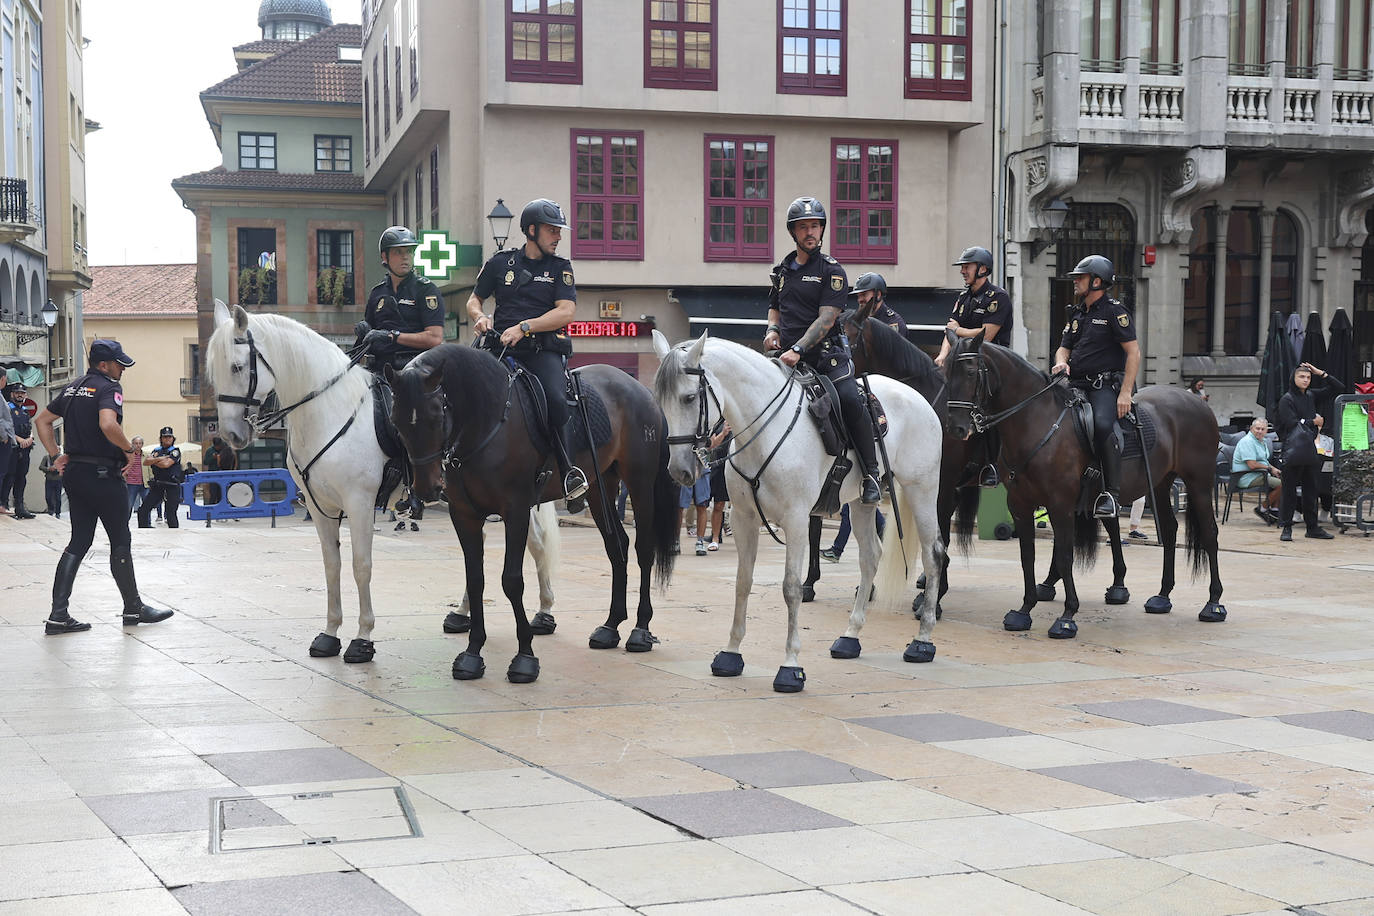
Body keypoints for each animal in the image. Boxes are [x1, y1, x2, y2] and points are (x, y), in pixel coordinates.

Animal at [204, 304, 557, 661]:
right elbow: (331, 565)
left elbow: (361, 565)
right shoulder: (319, 507)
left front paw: (362, 638)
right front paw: (330, 633)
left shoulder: (359, 503)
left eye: (237, 366)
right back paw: (464, 613)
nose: (232, 434)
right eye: (213, 373)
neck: (330, 411)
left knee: (537, 544)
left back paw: (544, 612)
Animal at [387, 341, 676, 681]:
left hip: (640, 482)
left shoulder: (516, 511)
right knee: (616, 546)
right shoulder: (465, 515)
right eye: (396, 421)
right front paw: (473, 653)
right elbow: (476, 580)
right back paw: (611, 626)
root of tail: (639, 388)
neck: (485, 422)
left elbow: (512, 580)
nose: (426, 488)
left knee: (644, 549)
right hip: (600, 485)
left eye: (435, 415)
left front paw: (525, 656)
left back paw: (640, 630)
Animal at [654, 330, 945, 694]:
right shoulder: (744, 519)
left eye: (690, 397)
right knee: (870, 557)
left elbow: (791, 587)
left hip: (923, 489)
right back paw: (850, 637)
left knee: (933, 556)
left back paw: (923, 641)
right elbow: (742, 582)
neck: (765, 430)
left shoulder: (795, 519)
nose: (679, 471)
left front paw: (791, 666)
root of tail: (918, 398)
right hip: (861, 503)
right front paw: (731, 654)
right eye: (660, 400)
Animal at [945, 329, 1225, 637]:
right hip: (1162, 484)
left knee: (1209, 534)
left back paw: (1213, 603)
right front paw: (1024, 610)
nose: (956, 427)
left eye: (970, 372)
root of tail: (1197, 401)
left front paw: (1067, 616)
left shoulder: (1061, 504)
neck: (1036, 422)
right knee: (1171, 530)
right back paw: (1163, 596)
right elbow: (1027, 556)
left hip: (1199, 482)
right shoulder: (1020, 504)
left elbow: (1065, 556)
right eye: (946, 371)